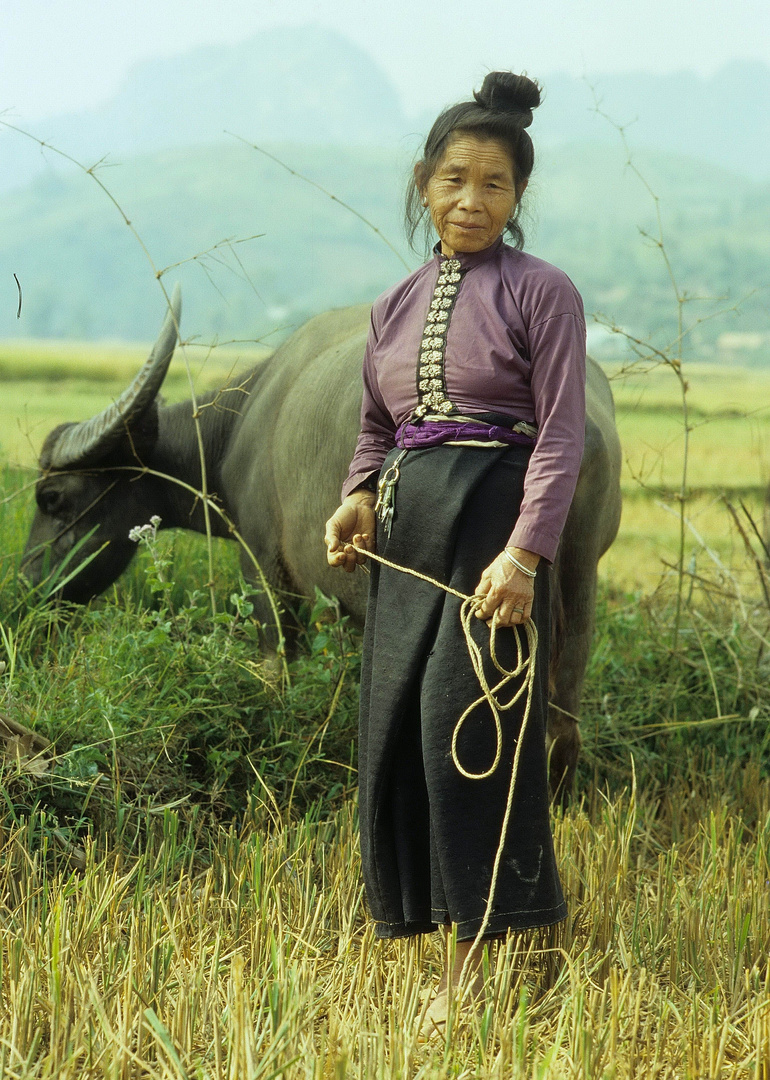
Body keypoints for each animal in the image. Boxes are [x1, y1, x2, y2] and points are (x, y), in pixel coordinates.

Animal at [24, 289, 622, 803]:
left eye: (52, 498)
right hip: (577, 588)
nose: (29, 587)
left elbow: (276, 668)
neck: (236, 430)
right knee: (560, 730)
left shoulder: (266, 567)